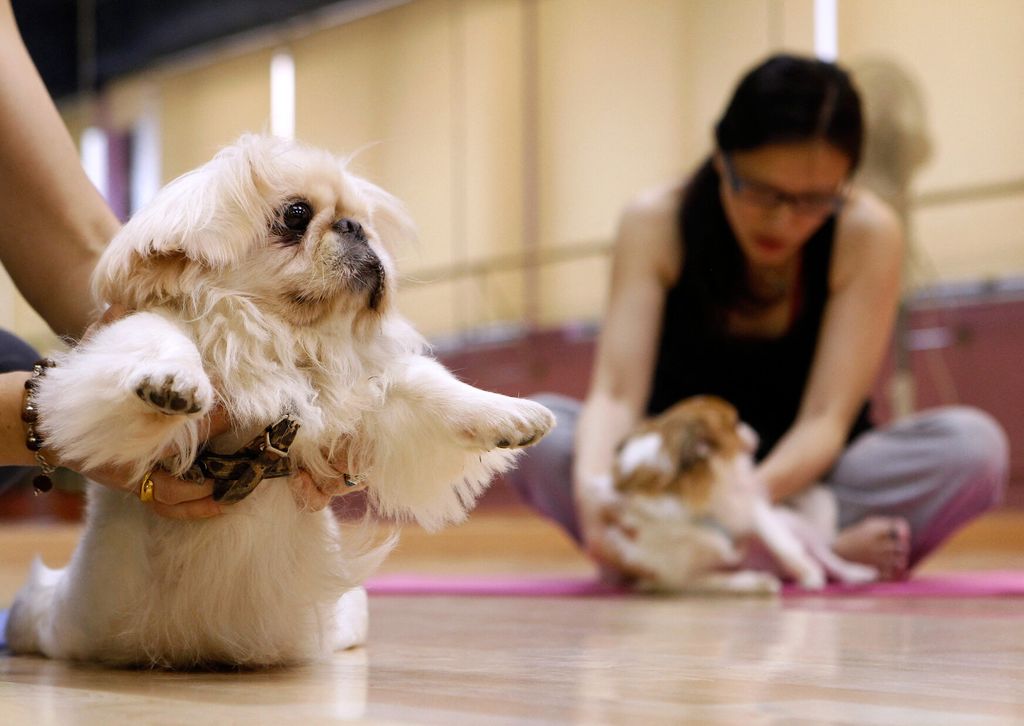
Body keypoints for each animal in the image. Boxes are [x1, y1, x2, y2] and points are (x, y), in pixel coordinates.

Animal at [4, 133, 557, 663]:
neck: (283, 336)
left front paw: (510, 415)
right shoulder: (144, 333)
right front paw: (171, 384)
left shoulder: (365, 391)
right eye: (296, 215)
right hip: (51, 619)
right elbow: (163, 340)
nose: (353, 227)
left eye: (362, 221)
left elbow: (429, 385)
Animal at [593, 397, 872, 593]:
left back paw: (854, 573)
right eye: (735, 423)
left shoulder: (753, 507)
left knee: (826, 556)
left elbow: (782, 544)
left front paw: (808, 574)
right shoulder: (677, 577)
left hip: (795, 527)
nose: (753, 431)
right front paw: (758, 583)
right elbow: (723, 580)